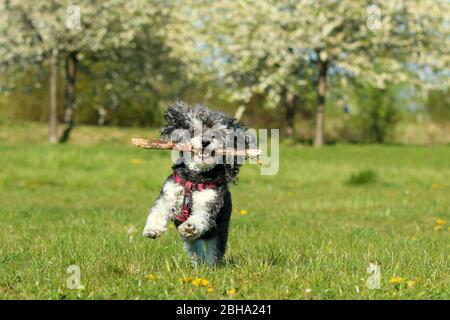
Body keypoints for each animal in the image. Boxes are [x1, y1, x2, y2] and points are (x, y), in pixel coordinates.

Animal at [142, 102, 253, 264]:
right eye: (194, 130)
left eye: (216, 134)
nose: (205, 142)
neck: (194, 178)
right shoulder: (168, 194)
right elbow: (158, 210)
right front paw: (152, 229)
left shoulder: (210, 203)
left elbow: (201, 217)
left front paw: (190, 227)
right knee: (195, 248)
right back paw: (199, 263)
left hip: (219, 231)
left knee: (214, 251)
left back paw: (211, 265)